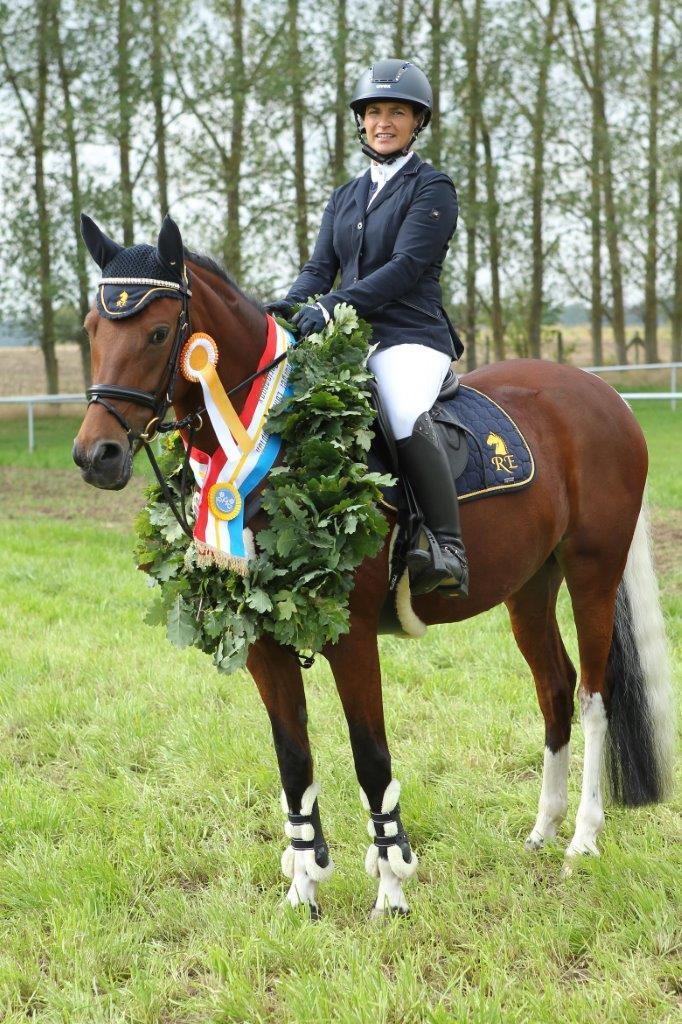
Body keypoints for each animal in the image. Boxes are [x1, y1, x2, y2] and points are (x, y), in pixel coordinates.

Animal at [73, 214, 675, 919]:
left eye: (160, 332)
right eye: (92, 328)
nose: (97, 456)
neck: (273, 435)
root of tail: (606, 394)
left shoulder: (353, 635)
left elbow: (370, 758)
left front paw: (390, 891)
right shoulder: (264, 643)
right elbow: (294, 760)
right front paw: (302, 891)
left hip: (591, 574)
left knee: (594, 697)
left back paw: (581, 840)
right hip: (529, 587)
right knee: (553, 688)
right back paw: (542, 831)